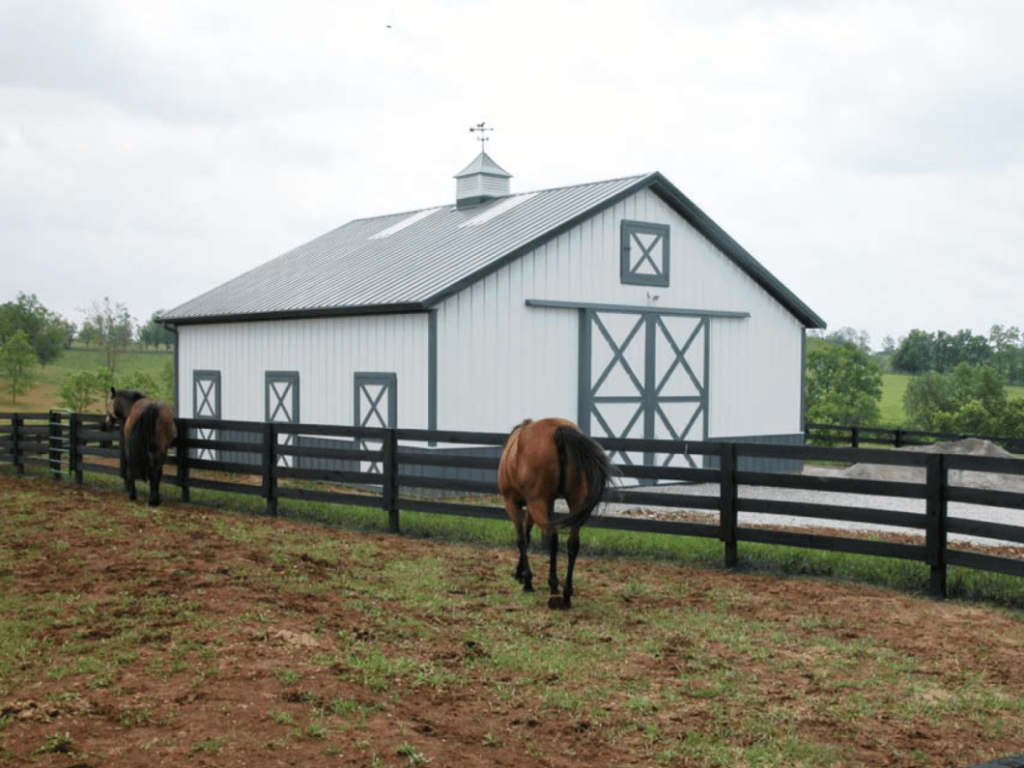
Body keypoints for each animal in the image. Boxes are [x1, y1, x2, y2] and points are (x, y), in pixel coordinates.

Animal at [498, 417, 617, 609]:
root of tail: (559, 429)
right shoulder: (535, 507)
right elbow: (527, 537)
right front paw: (520, 572)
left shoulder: (513, 504)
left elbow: (521, 540)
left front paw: (527, 579)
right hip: (572, 504)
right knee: (572, 544)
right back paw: (567, 593)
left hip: (537, 504)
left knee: (552, 538)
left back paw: (553, 587)